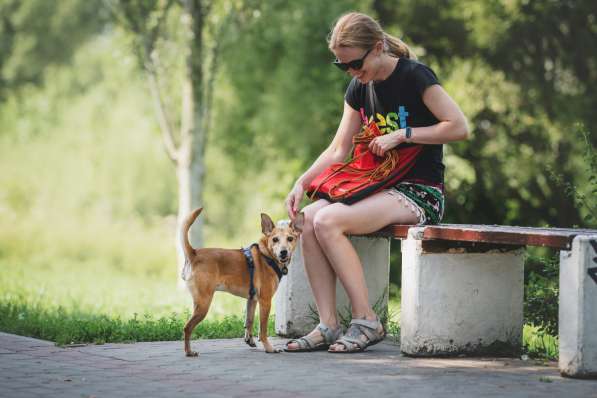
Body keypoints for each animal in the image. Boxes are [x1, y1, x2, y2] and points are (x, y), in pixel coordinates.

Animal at [179, 207, 302, 356]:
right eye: (275, 239)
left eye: (290, 238)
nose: (283, 252)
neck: (266, 255)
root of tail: (194, 253)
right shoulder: (265, 301)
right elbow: (263, 330)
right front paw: (269, 348)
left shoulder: (252, 300)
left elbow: (249, 321)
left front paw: (249, 339)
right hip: (203, 304)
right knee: (187, 327)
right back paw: (189, 352)